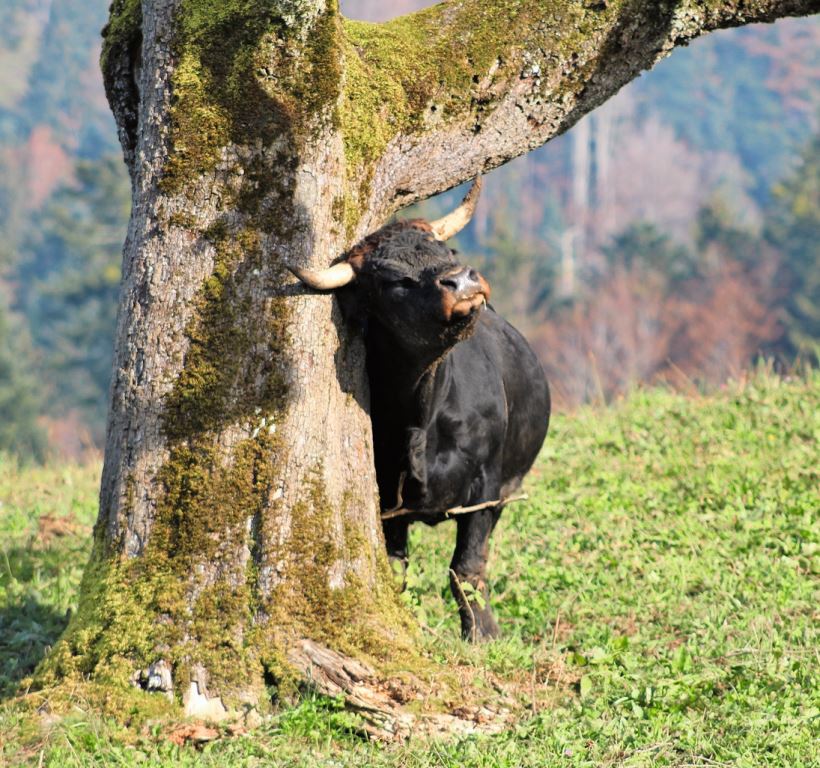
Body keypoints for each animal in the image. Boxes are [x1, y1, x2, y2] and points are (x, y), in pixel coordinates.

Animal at [290, 195, 552, 640]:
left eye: (448, 251)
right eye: (395, 280)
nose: (462, 281)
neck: (421, 417)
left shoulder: (485, 483)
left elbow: (466, 567)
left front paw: (482, 635)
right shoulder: (387, 499)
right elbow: (396, 568)